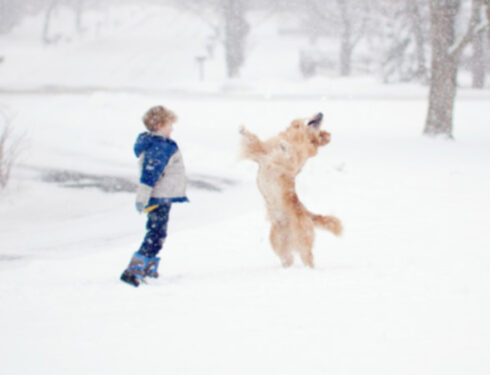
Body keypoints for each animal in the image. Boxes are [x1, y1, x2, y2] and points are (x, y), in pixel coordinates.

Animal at [240, 112, 340, 268]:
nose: (321, 113)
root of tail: (307, 213)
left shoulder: (292, 164)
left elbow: (290, 155)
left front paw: (285, 147)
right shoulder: (259, 152)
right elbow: (253, 141)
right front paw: (242, 129)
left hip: (304, 243)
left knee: (309, 260)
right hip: (280, 247)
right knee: (288, 259)